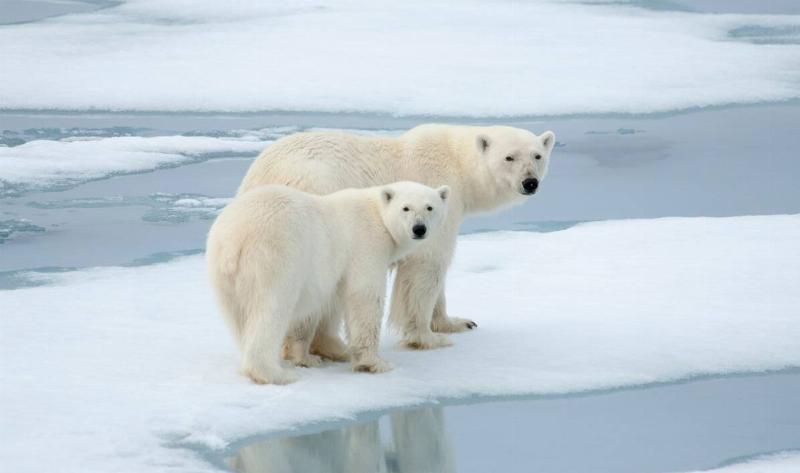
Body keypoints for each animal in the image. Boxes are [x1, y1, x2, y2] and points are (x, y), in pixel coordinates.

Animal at [206, 181, 450, 384]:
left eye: (430, 207)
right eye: (405, 208)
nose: (419, 229)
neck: (377, 213)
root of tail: (233, 239)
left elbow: (324, 305)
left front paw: (316, 355)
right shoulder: (366, 244)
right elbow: (364, 296)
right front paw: (375, 363)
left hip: (221, 272)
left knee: (238, 317)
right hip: (274, 256)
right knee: (272, 309)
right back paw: (276, 374)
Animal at [238, 124, 555, 351]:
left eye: (537, 156)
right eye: (509, 157)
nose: (530, 182)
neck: (457, 163)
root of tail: (260, 176)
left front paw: (456, 322)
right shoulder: (433, 193)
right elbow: (427, 264)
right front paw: (426, 337)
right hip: (315, 194)